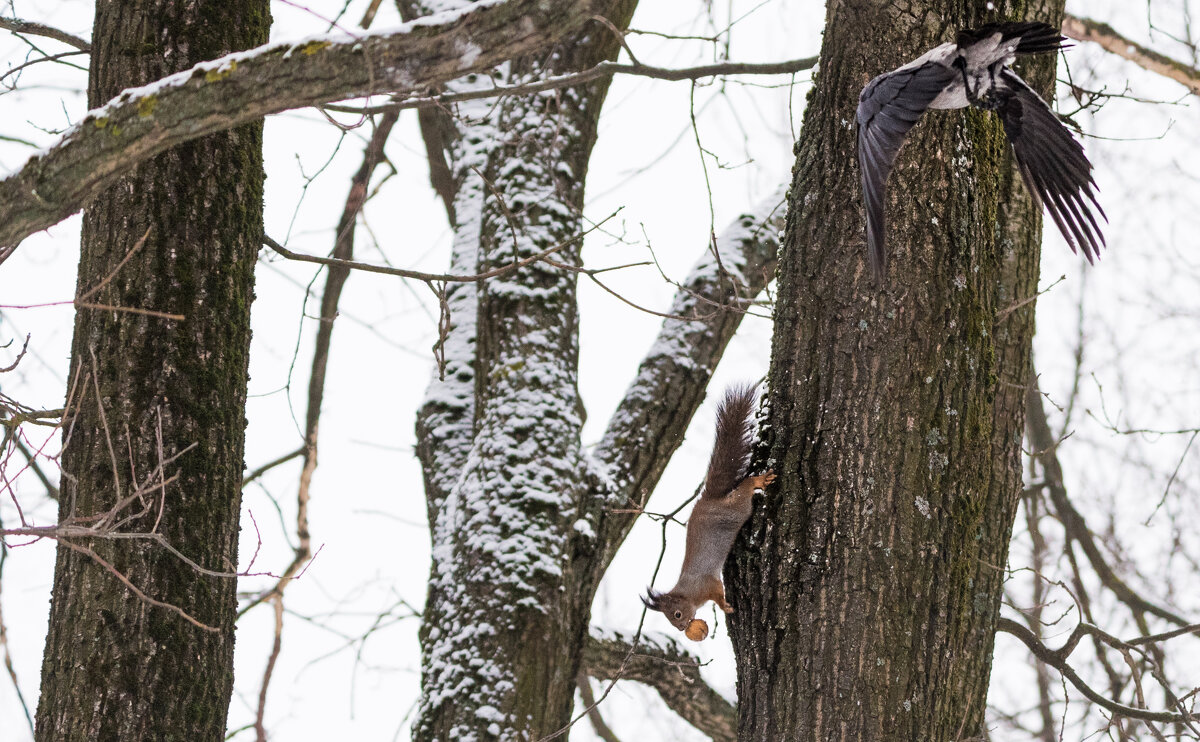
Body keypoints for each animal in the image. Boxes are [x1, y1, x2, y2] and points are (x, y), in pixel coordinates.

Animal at [638, 381, 777, 633]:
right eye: (672, 619)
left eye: (677, 614)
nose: (681, 628)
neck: (689, 592)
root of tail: (709, 499)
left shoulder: (708, 583)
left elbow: (718, 593)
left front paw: (725, 607)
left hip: (735, 510)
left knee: (745, 490)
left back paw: (758, 481)